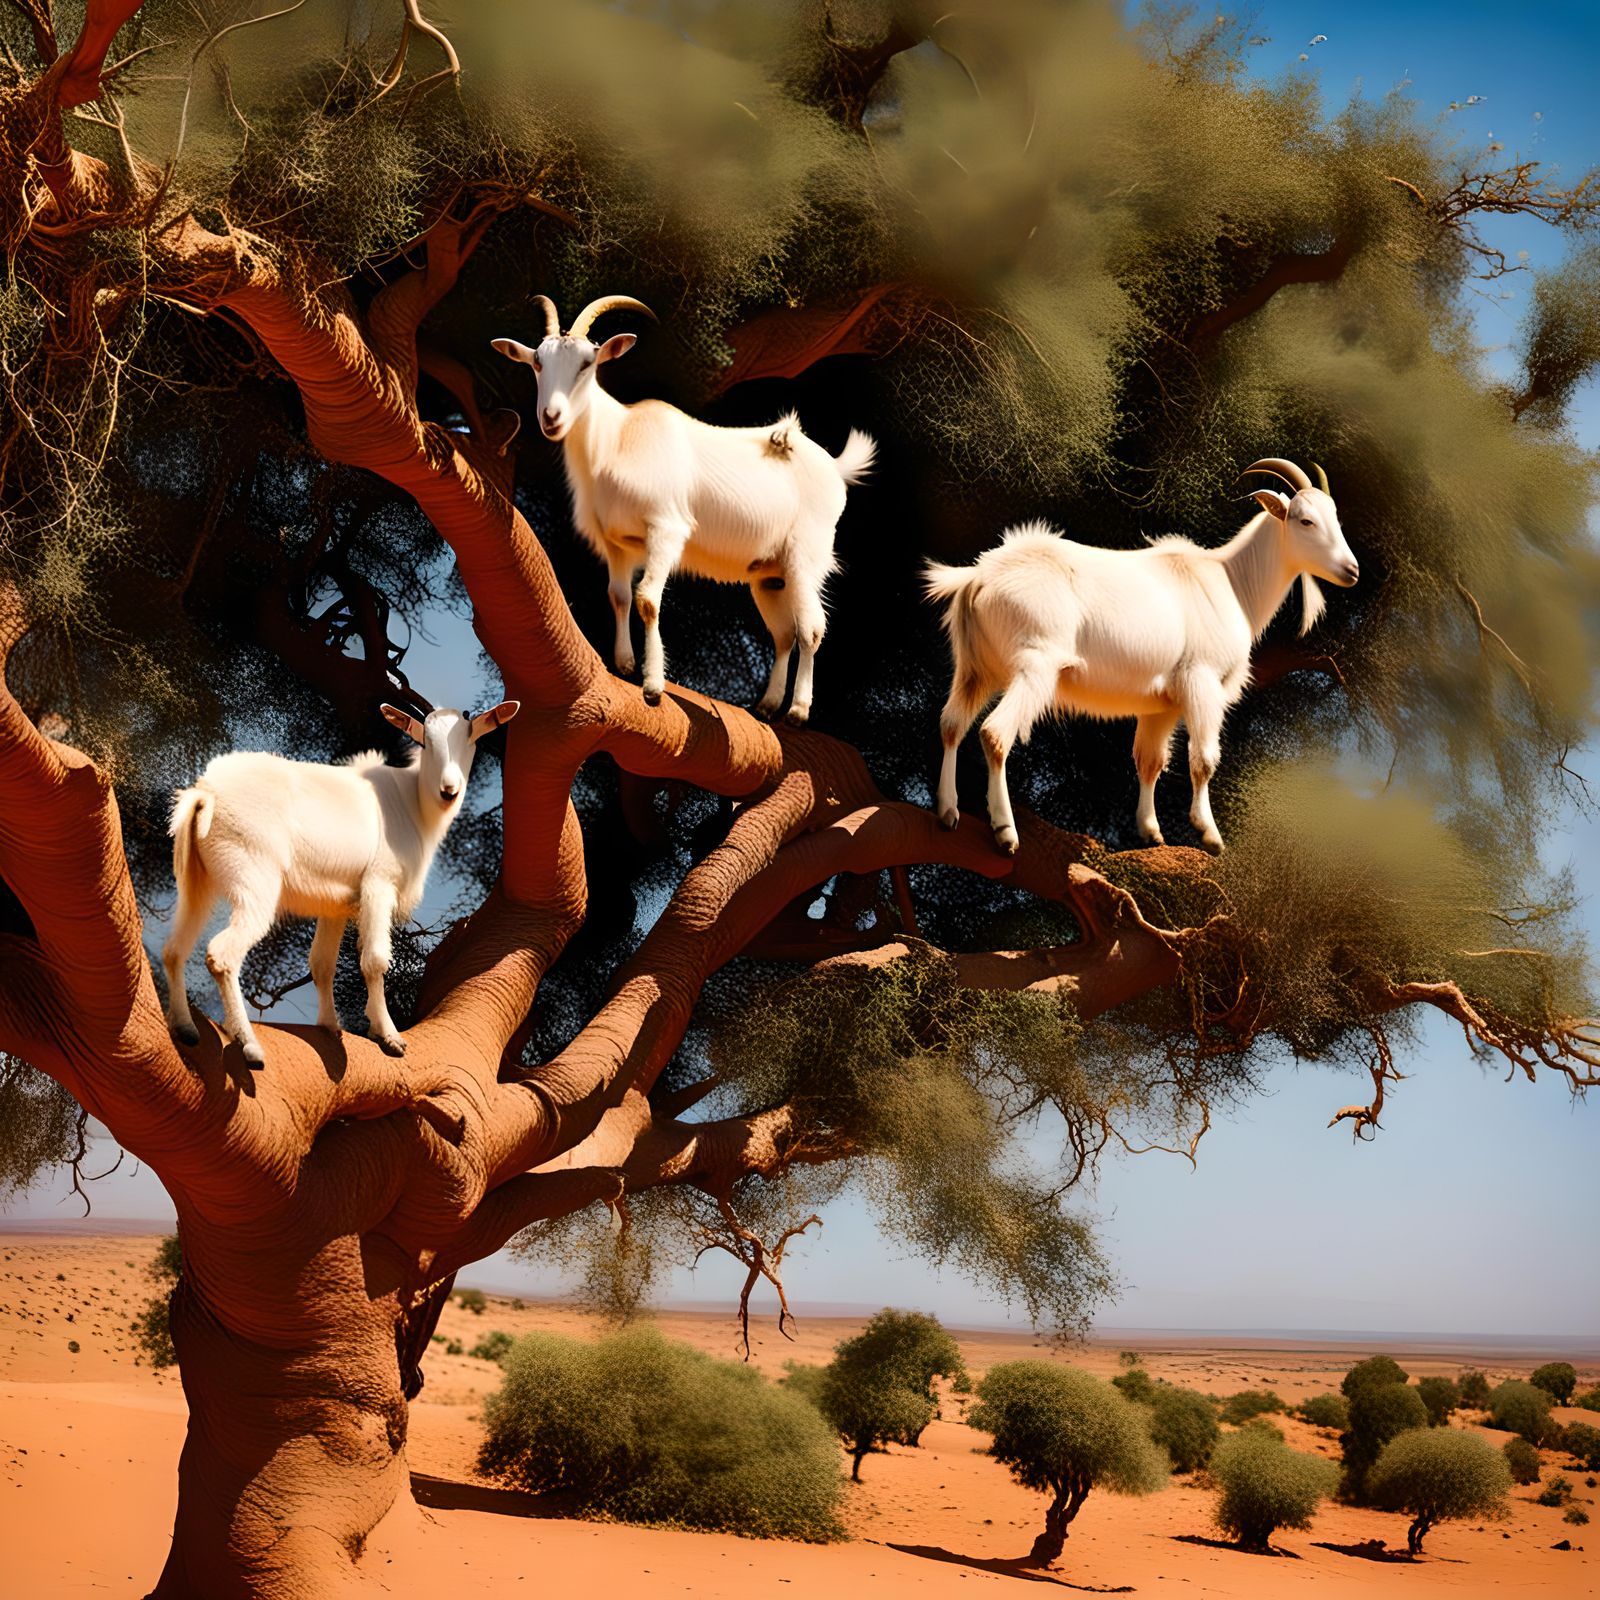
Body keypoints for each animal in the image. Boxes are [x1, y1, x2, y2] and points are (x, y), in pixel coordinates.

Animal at [162, 700, 519, 1062]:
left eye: (471, 738)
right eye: (424, 741)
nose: (449, 790)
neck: (413, 805)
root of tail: (205, 794)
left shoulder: (334, 905)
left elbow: (321, 964)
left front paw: (330, 1027)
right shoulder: (379, 884)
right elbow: (375, 960)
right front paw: (388, 1036)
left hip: (196, 881)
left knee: (174, 949)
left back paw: (185, 1029)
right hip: (254, 880)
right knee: (222, 955)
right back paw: (249, 1045)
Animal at [492, 295, 875, 724]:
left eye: (587, 362)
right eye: (537, 362)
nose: (552, 418)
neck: (617, 439)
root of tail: (836, 469)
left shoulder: (666, 530)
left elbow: (647, 599)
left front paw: (653, 687)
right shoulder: (616, 544)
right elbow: (619, 596)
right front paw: (624, 665)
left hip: (805, 557)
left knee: (811, 628)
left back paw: (797, 710)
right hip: (770, 576)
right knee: (783, 635)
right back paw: (767, 705)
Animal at [925, 459, 1358, 855]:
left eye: (1335, 518)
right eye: (1305, 520)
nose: (1351, 570)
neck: (1232, 582)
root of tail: (978, 578)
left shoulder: (1160, 706)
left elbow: (1150, 761)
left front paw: (1151, 832)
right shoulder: (1202, 682)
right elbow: (1204, 758)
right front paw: (1210, 835)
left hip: (974, 669)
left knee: (951, 724)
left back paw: (947, 812)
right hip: (1035, 666)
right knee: (995, 733)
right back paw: (1005, 832)